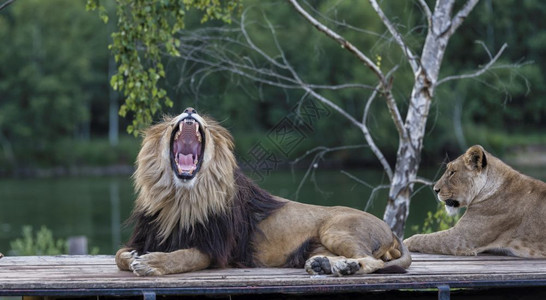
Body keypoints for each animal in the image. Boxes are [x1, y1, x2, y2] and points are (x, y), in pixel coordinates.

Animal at [117, 108, 410, 276]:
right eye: (170, 124)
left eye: (206, 127)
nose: (189, 110)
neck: (180, 198)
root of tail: (391, 230)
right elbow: (120, 256)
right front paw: (133, 257)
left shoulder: (217, 250)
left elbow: (182, 257)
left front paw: (151, 263)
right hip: (316, 245)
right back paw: (328, 265)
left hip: (336, 229)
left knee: (372, 261)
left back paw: (349, 268)